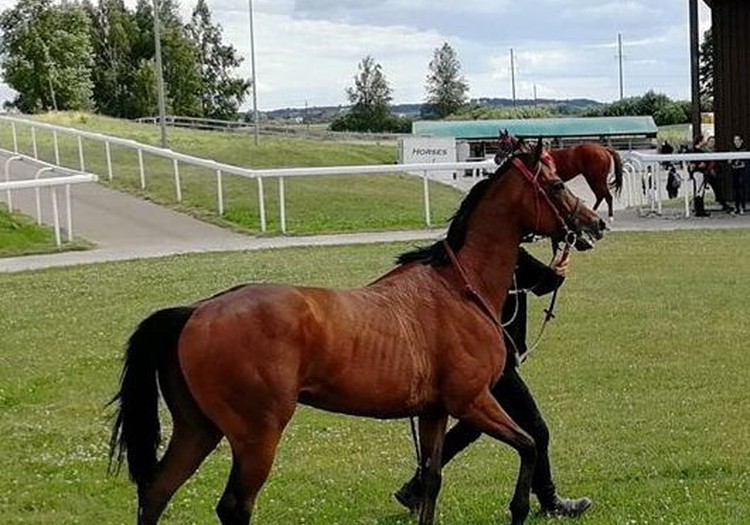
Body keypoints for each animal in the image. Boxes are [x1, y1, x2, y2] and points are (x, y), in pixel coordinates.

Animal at [110, 139, 604, 524]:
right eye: (557, 185)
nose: (595, 223)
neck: (460, 288)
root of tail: (194, 312)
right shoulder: (473, 400)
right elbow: (528, 445)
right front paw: (520, 509)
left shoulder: (434, 411)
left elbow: (432, 479)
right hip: (255, 439)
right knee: (233, 507)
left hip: (197, 430)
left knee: (156, 491)